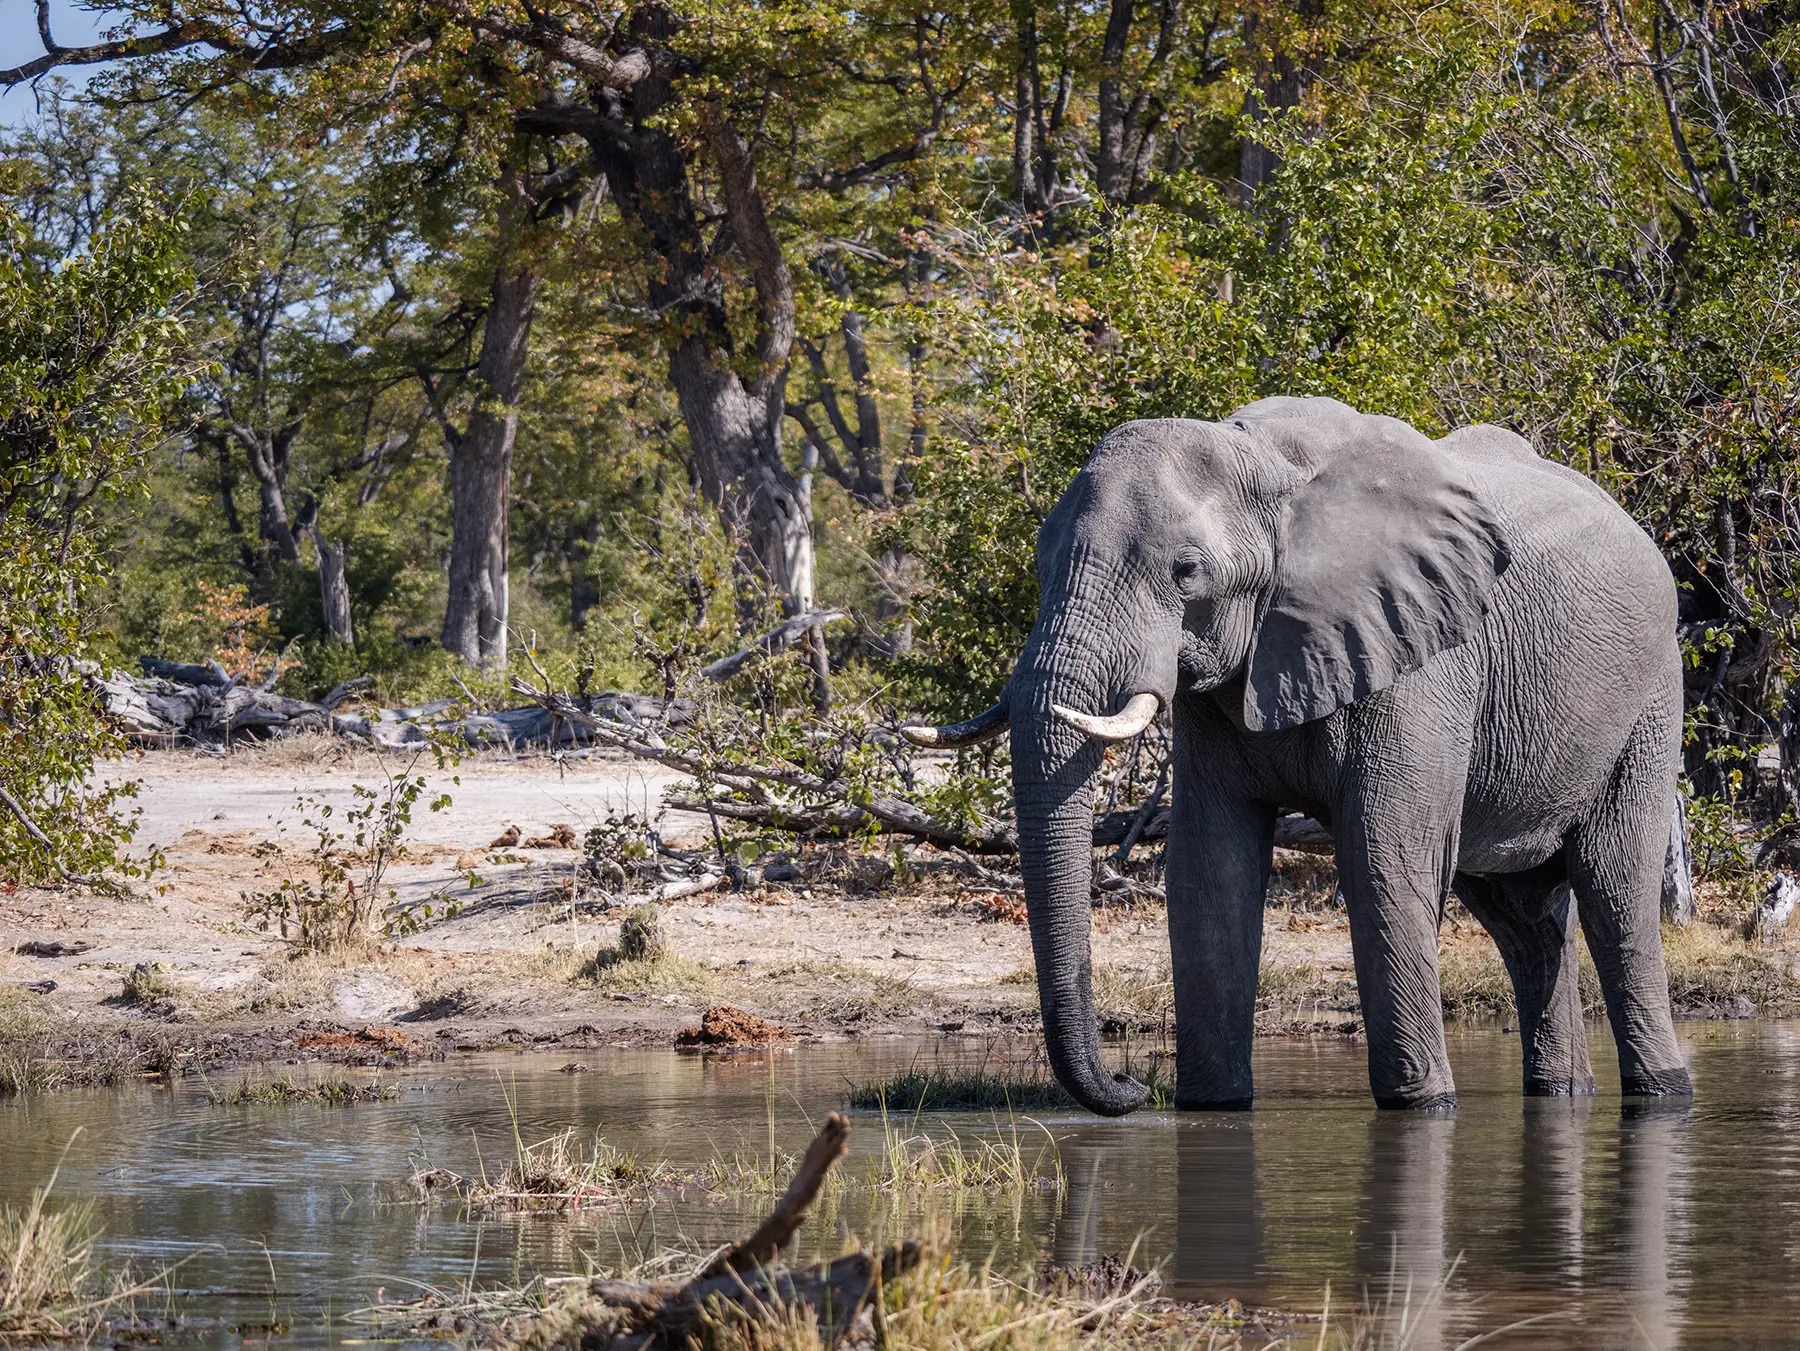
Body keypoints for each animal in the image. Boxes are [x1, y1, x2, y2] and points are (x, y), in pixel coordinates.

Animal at [902, 396, 1693, 1115]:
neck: (1261, 462)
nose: (1130, 1086)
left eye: (1186, 572)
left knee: (1615, 890)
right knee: (1523, 918)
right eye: (1039, 563)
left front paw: (1424, 1106)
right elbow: (1209, 869)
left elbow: (1385, 860)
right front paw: (1212, 1106)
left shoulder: (1423, 658)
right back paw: (1563, 1092)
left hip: (1651, 695)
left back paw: (1662, 1094)